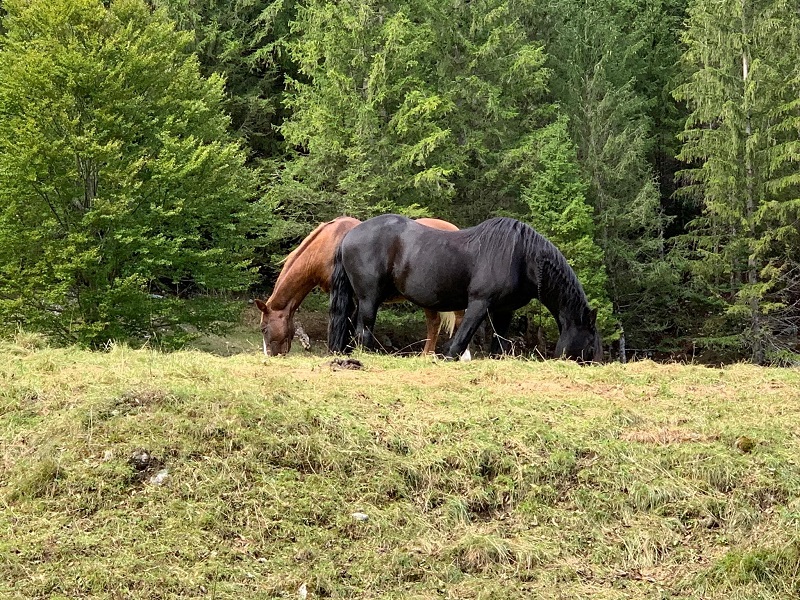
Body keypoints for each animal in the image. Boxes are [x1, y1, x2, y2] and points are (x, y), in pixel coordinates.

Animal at [328, 214, 602, 362]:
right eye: (590, 344)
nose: (588, 364)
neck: (522, 256)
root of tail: (349, 235)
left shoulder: (504, 310)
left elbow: (499, 342)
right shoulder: (480, 303)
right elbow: (461, 338)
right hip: (369, 298)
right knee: (363, 329)